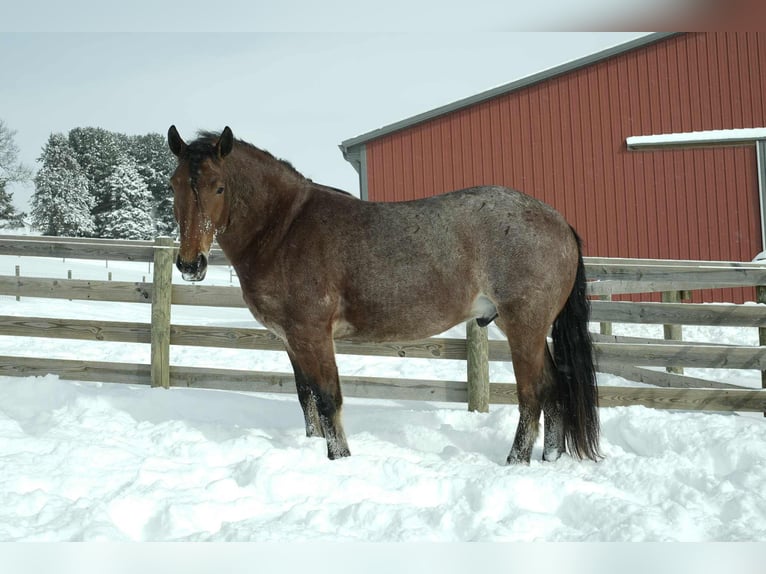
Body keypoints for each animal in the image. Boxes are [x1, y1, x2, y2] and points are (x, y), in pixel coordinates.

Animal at [167, 125, 601, 464]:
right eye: (174, 185)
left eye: (219, 187)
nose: (190, 264)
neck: (285, 228)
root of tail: (558, 221)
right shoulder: (291, 340)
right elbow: (306, 398)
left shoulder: (313, 335)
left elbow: (328, 399)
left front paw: (339, 459)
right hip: (534, 330)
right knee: (556, 389)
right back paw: (550, 458)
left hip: (523, 327)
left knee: (533, 394)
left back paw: (515, 461)